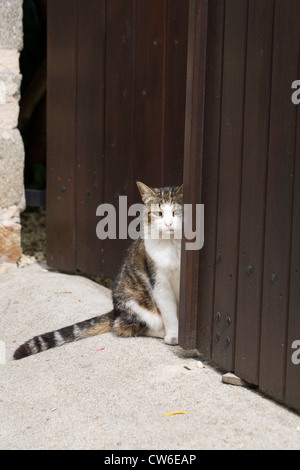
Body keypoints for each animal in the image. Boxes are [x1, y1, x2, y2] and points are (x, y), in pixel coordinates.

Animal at [13, 181, 183, 360]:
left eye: (177, 211)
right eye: (158, 213)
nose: (169, 224)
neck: (173, 245)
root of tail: (116, 311)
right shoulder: (159, 280)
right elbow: (169, 311)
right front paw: (174, 336)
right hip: (136, 304)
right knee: (124, 326)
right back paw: (160, 332)